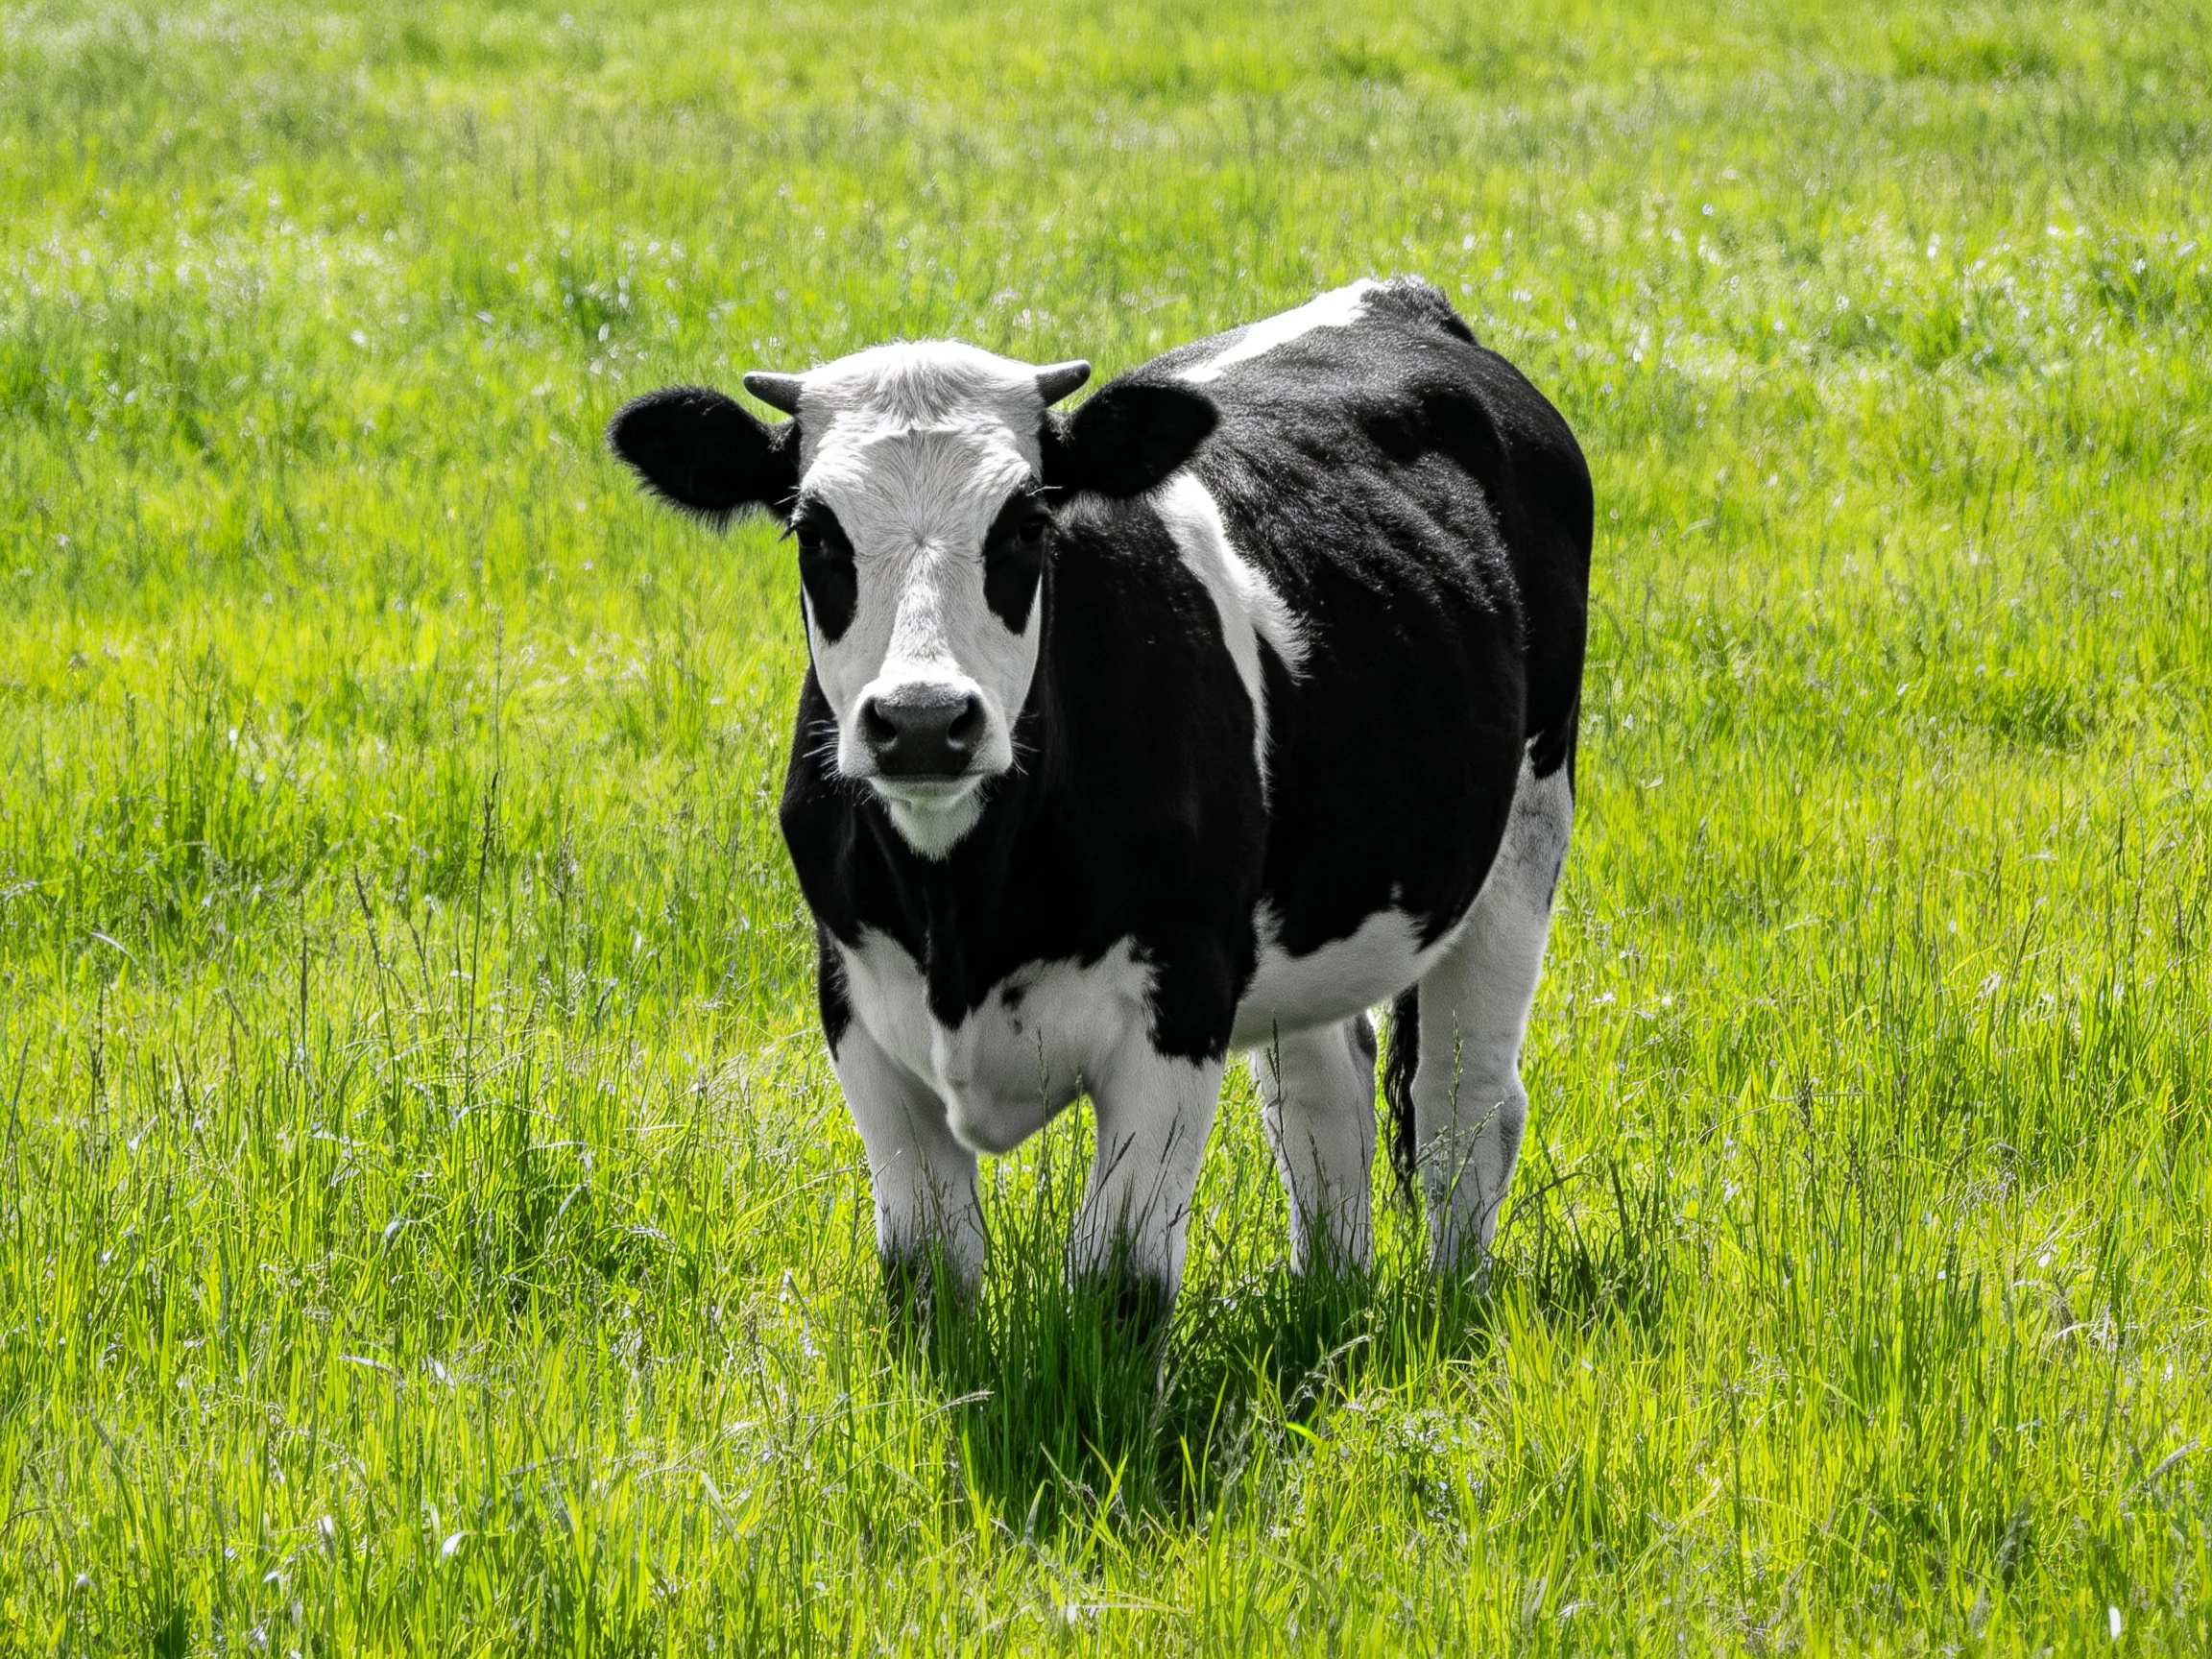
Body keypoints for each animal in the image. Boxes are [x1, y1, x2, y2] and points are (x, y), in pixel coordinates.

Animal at [607, 276, 1590, 1319]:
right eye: (813, 530)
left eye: (1027, 523)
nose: (922, 721)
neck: (962, 912)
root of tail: (1397, 297)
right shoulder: (855, 1005)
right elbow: (927, 1272)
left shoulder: (1182, 1001)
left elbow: (1120, 1282)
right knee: (1325, 1096)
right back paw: (1328, 1302)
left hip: (1527, 829)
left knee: (1463, 1106)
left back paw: (1450, 1308)